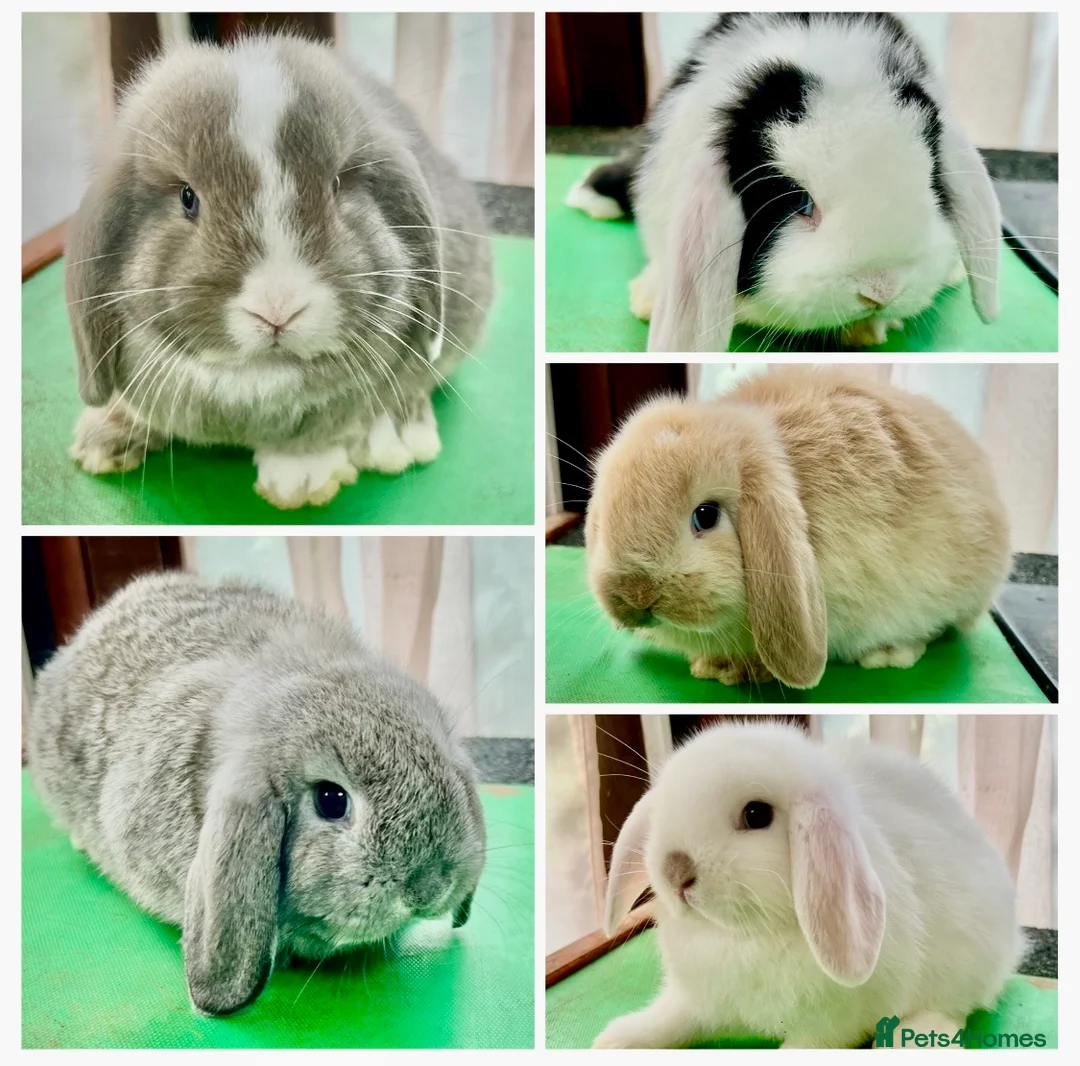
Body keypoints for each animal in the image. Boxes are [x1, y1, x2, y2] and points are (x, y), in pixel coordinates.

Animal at [64, 32, 493, 509]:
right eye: (188, 197)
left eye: (337, 185)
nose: (278, 309)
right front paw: (102, 438)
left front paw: (300, 483)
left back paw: (401, 436)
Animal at [585, 366, 1011, 689]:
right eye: (603, 520)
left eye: (706, 515)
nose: (636, 593)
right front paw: (708, 666)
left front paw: (742, 671)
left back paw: (888, 653)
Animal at [595, 721, 1024, 1048]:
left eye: (756, 814)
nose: (674, 870)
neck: (744, 936)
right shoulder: (698, 1000)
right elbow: (671, 1021)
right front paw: (615, 1040)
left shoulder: (828, 1027)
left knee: (955, 1008)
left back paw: (915, 1038)